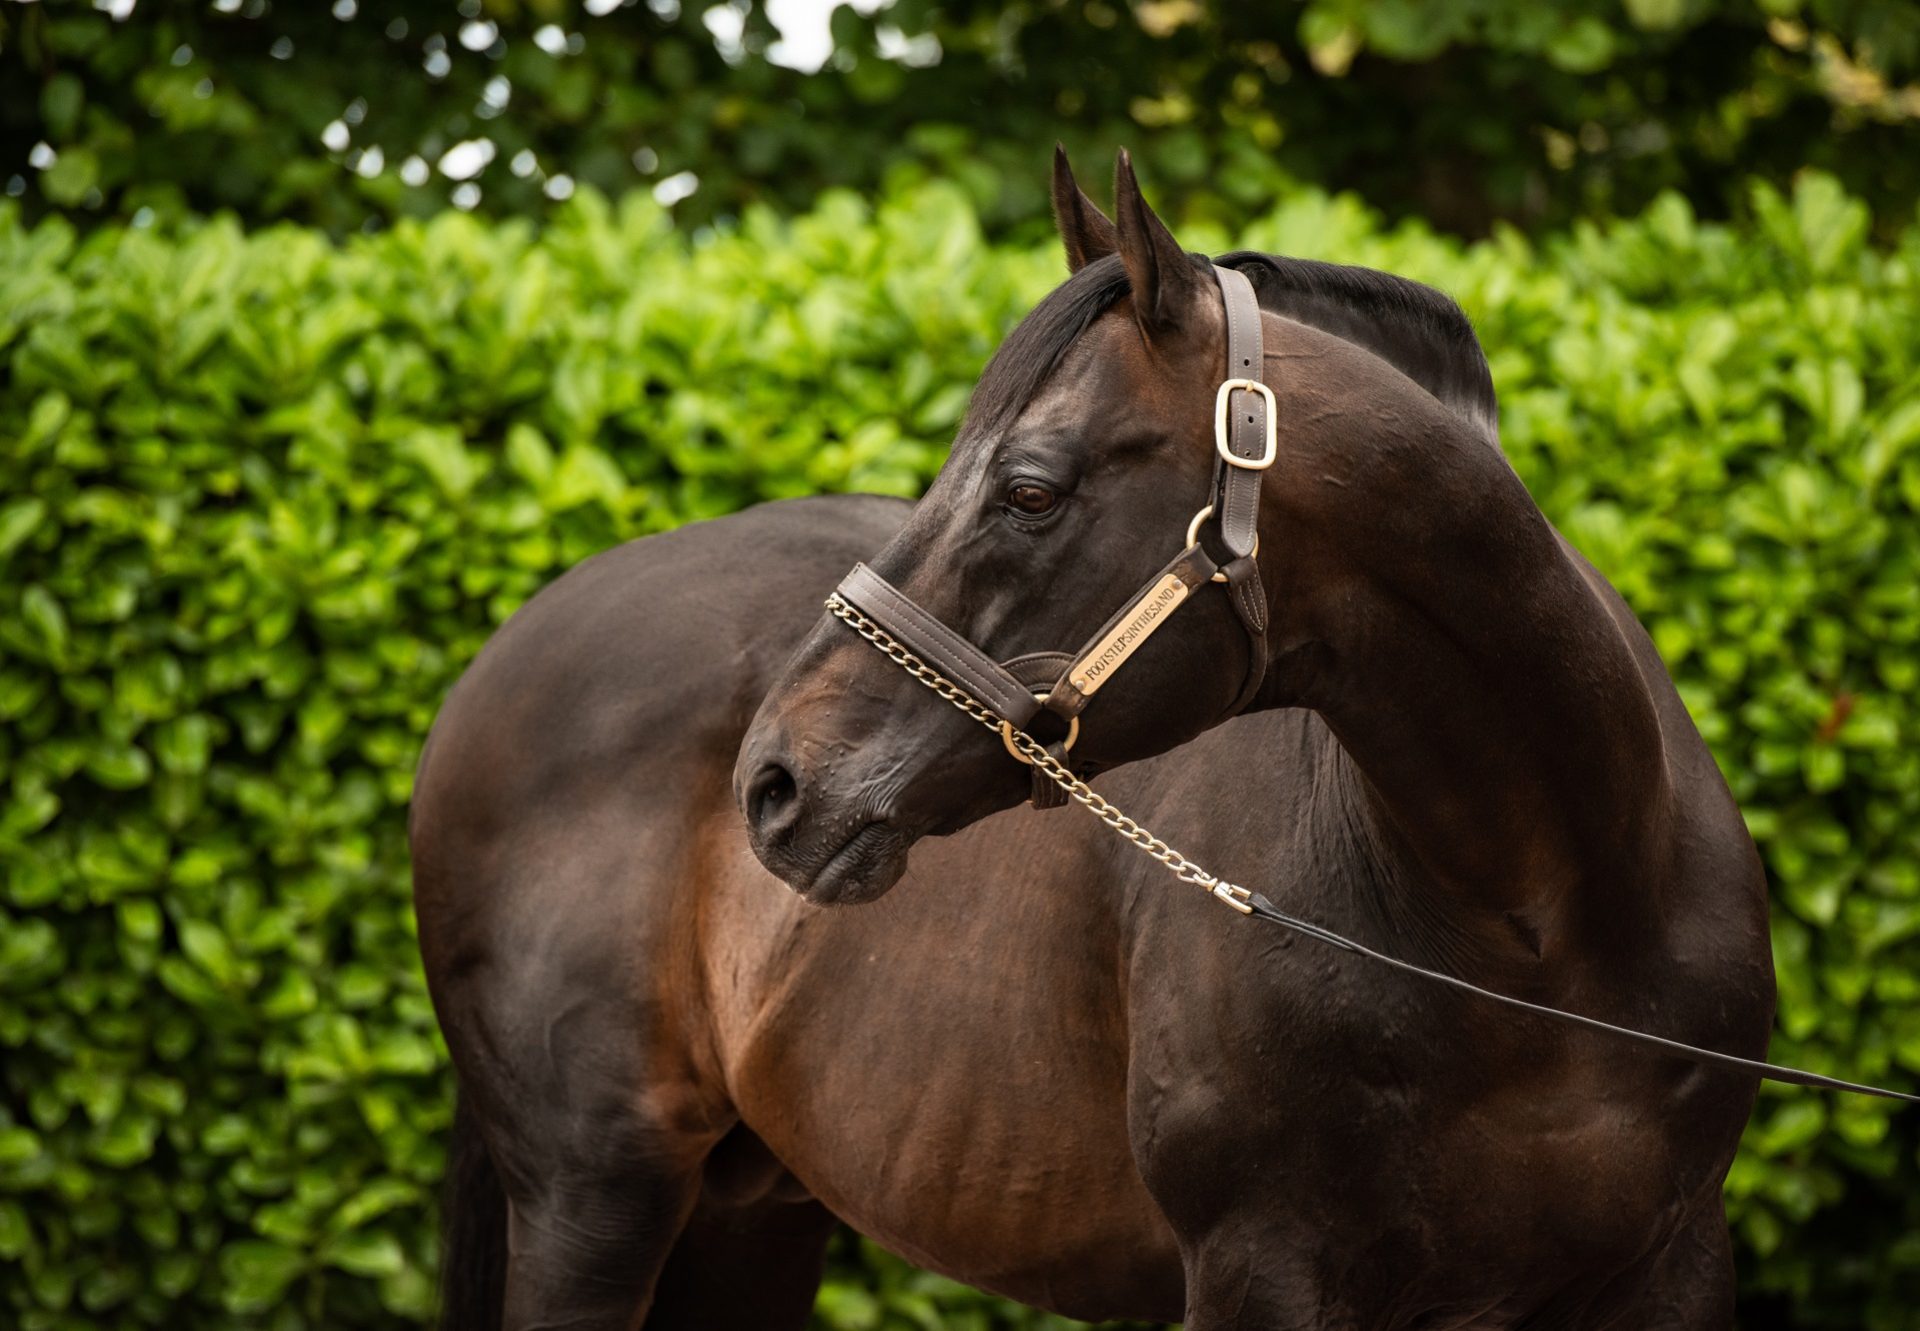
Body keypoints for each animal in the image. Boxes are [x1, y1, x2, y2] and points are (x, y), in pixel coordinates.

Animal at [412, 150, 1774, 1321]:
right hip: (596, 1198)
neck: (1537, 929)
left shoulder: (1671, 1266)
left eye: (1028, 487)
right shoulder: (1263, 1265)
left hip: (751, 1215)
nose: (778, 782)